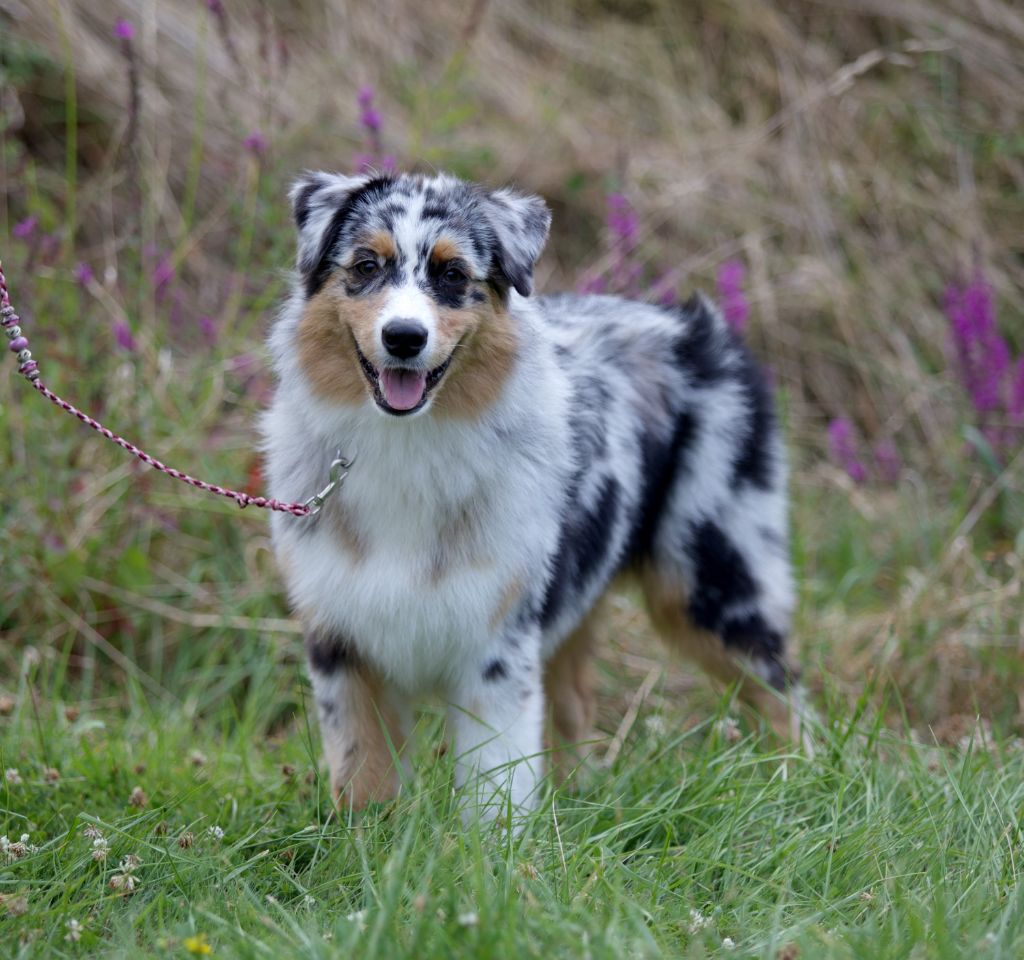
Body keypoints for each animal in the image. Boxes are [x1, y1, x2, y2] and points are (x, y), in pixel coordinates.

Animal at [262, 169, 798, 814]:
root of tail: (699, 327)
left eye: (452, 274)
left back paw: (799, 787)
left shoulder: (497, 645)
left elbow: (495, 786)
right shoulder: (343, 643)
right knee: (574, 709)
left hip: (715, 578)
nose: (404, 337)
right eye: (366, 265)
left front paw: (493, 842)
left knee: (781, 688)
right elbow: (364, 777)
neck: (408, 444)